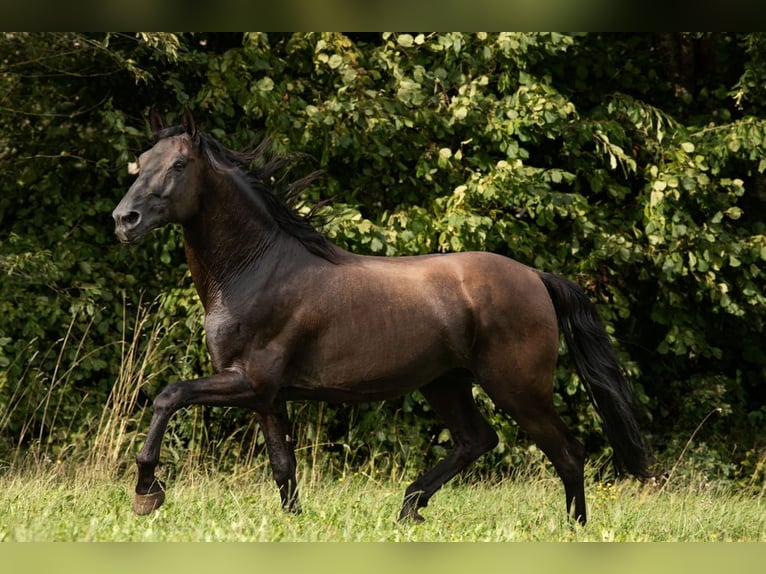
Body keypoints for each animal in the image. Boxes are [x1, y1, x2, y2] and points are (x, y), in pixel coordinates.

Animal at [114, 110, 652, 528]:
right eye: (140, 164)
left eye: (179, 164)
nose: (124, 220)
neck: (257, 268)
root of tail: (537, 277)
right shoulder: (264, 395)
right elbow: (283, 467)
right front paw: (294, 522)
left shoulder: (249, 381)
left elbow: (169, 395)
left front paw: (146, 491)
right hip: (445, 383)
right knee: (477, 440)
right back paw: (410, 507)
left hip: (518, 387)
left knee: (567, 452)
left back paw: (570, 529)